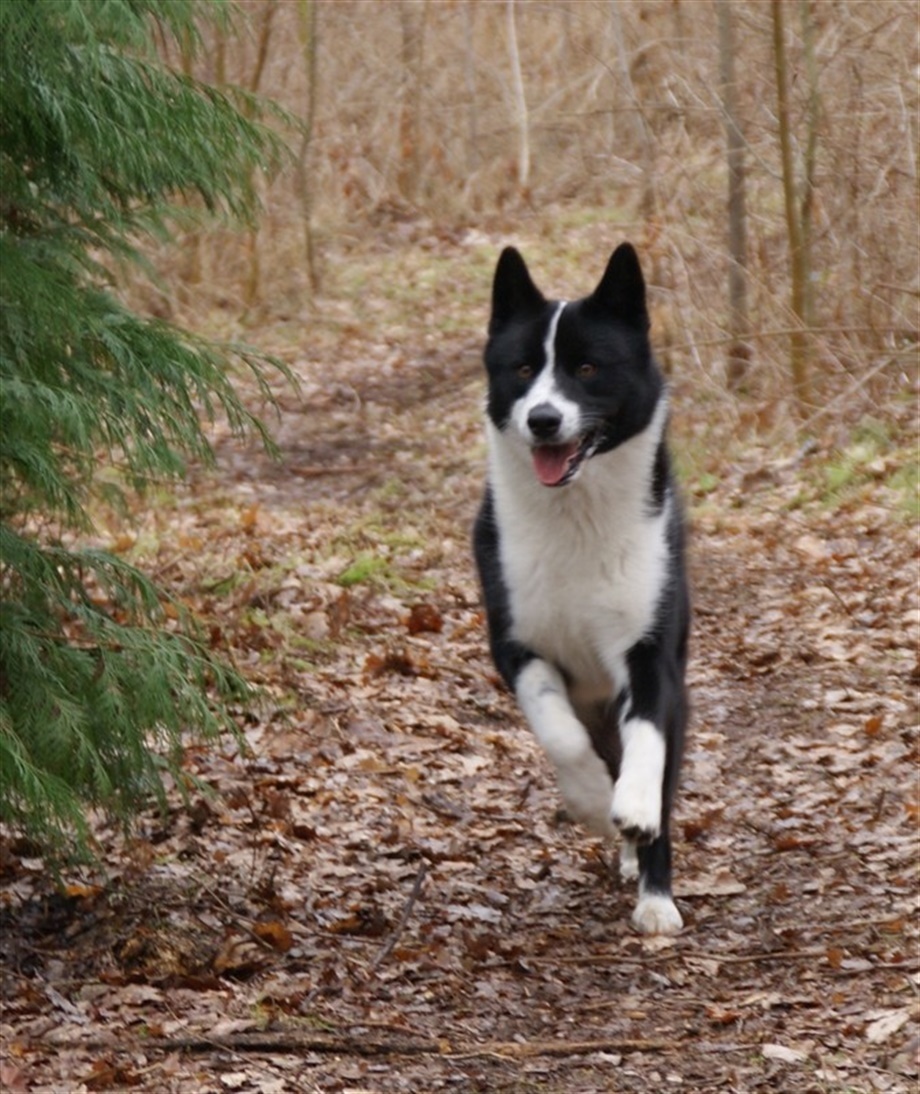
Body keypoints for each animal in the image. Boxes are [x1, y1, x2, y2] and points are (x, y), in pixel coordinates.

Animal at [473, 243, 689, 935]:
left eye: (588, 367)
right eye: (521, 368)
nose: (544, 419)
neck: (576, 517)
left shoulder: (650, 652)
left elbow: (646, 740)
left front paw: (636, 817)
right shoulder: (516, 645)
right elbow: (559, 733)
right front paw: (595, 801)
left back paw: (652, 891)